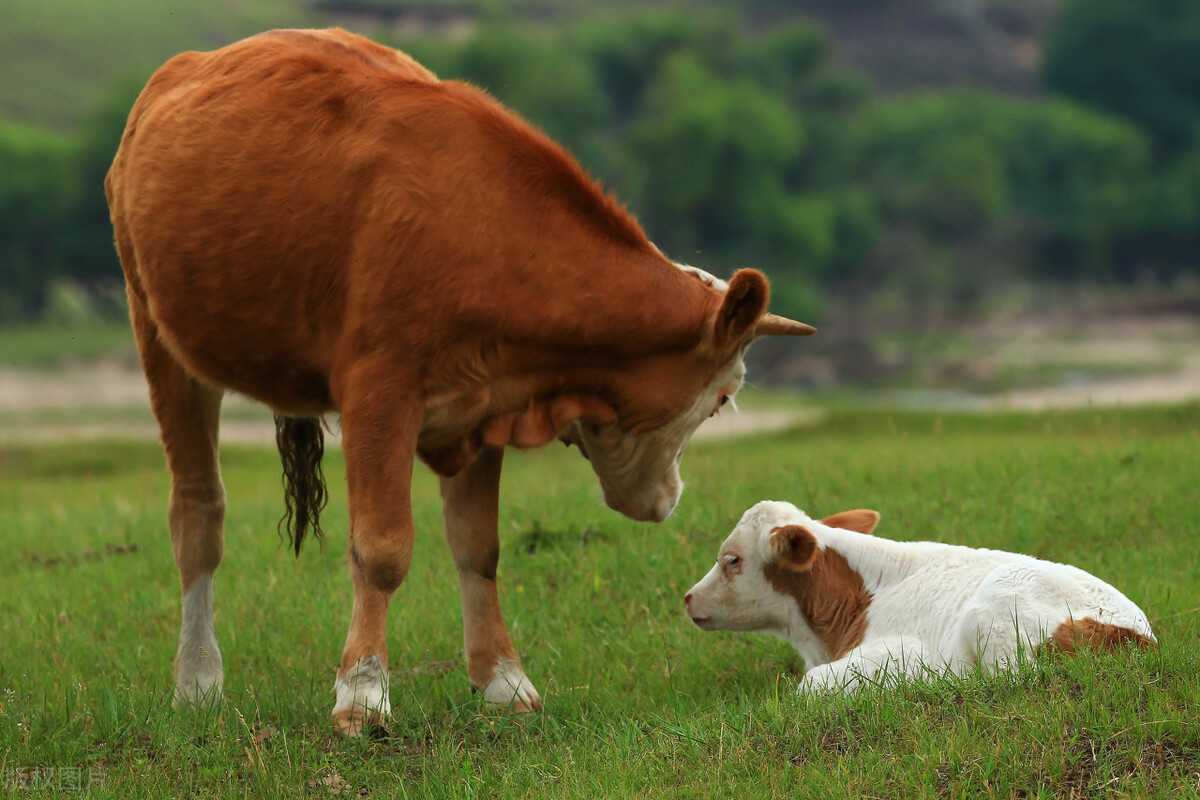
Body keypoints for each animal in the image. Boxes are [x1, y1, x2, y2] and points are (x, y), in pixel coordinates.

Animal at [108, 26, 816, 738]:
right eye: (722, 400)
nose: (670, 499)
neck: (487, 236)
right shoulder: (379, 393)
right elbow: (382, 550)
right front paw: (362, 692)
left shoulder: (487, 405)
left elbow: (480, 548)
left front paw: (503, 678)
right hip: (157, 334)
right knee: (198, 514)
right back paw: (198, 679)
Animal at [691, 501, 1156, 690]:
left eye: (731, 559)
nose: (688, 597)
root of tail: (1137, 635)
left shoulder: (898, 650)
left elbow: (808, 686)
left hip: (993, 614)